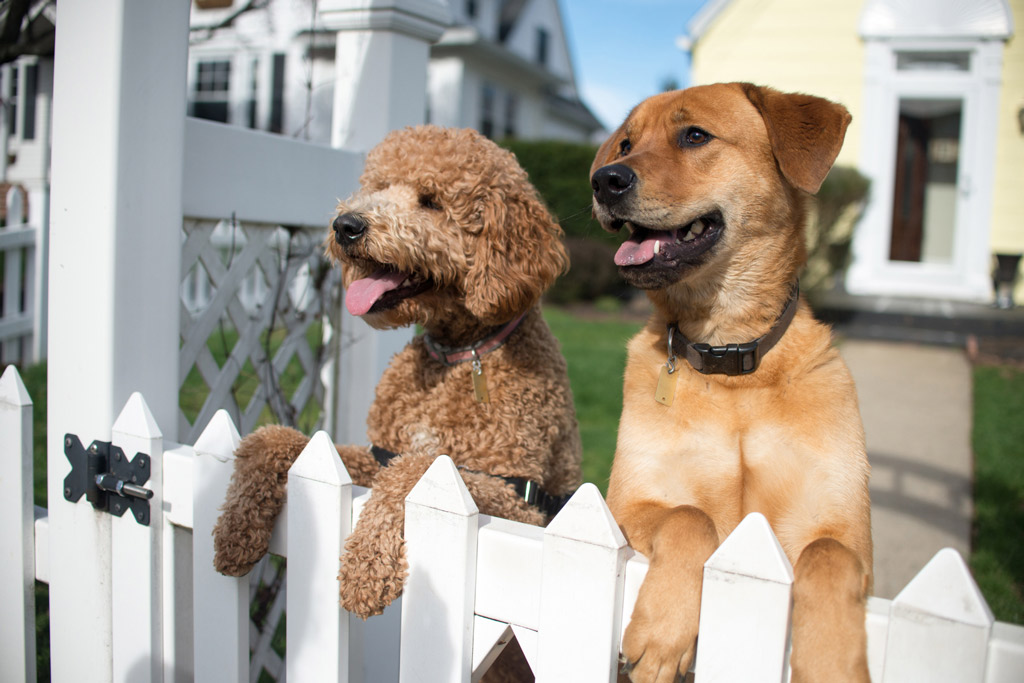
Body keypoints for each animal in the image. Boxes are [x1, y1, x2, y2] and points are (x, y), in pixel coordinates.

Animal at [214, 126, 585, 679]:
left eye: (430, 200)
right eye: (378, 186)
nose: (346, 226)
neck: (457, 356)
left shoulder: (517, 502)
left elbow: (416, 467)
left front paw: (364, 568)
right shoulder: (374, 455)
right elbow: (276, 438)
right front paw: (235, 528)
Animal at [593, 85, 872, 683]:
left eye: (694, 135)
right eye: (626, 143)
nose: (604, 180)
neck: (730, 360)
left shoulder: (843, 528)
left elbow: (828, 556)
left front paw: (831, 661)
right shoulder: (626, 502)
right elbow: (690, 516)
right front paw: (662, 633)